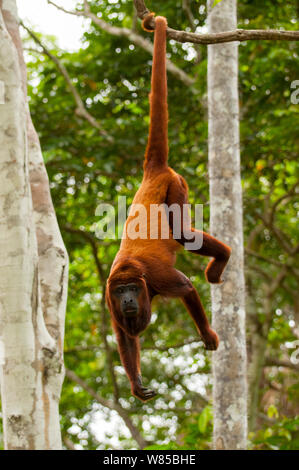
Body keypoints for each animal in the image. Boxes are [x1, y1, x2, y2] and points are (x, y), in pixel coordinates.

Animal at [106, 13, 232, 400]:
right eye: (120, 292)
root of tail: (153, 171)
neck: (132, 275)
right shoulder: (107, 298)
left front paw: (207, 335)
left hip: (176, 185)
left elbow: (187, 287)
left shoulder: (156, 277)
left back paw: (222, 259)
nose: (128, 300)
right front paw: (136, 384)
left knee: (183, 233)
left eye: (132, 289)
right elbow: (123, 335)